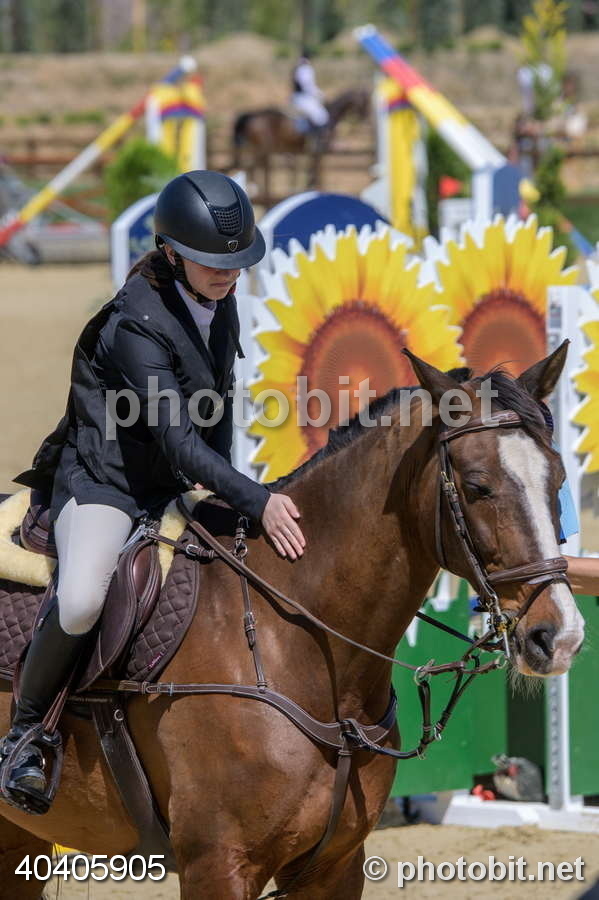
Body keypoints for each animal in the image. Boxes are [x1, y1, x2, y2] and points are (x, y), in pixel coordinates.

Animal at [231, 88, 370, 203]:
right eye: (364, 102)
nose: (366, 119)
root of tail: (252, 115)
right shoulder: (317, 151)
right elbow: (313, 170)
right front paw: (312, 188)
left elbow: (302, 171)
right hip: (262, 150)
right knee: (252, 166)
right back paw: (254, 189)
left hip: (259, 150)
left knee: (252, 166)